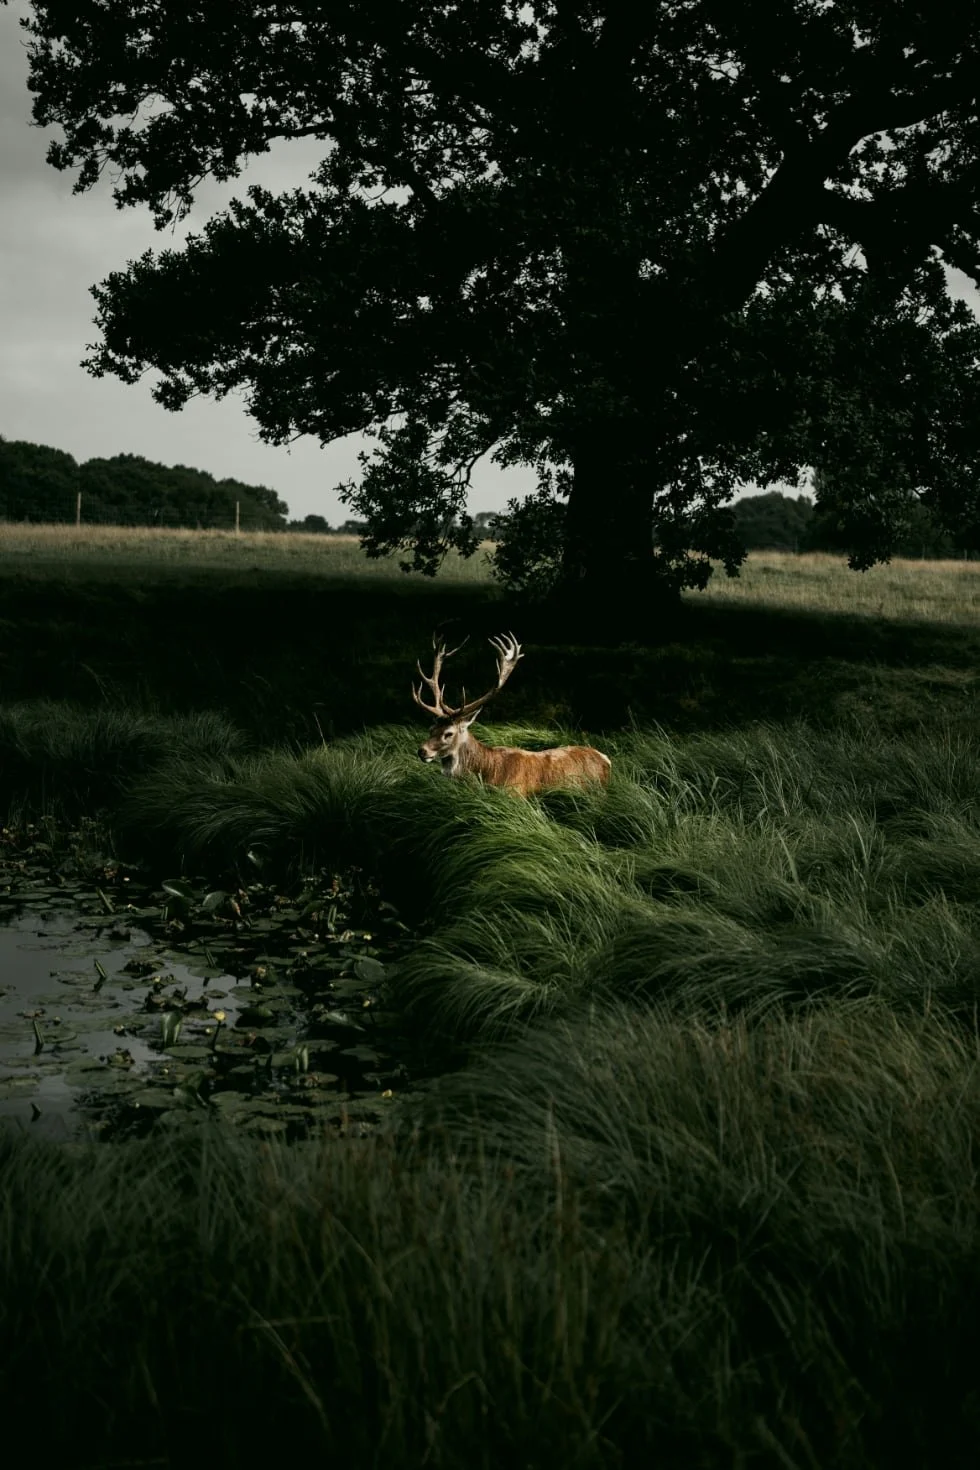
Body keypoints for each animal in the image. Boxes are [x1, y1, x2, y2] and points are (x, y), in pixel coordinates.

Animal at [412, 631, 611, 797]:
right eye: (431, 729)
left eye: (449, 733)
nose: (422, 751)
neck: (488, 772)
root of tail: (606, 759)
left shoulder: (515, 794)